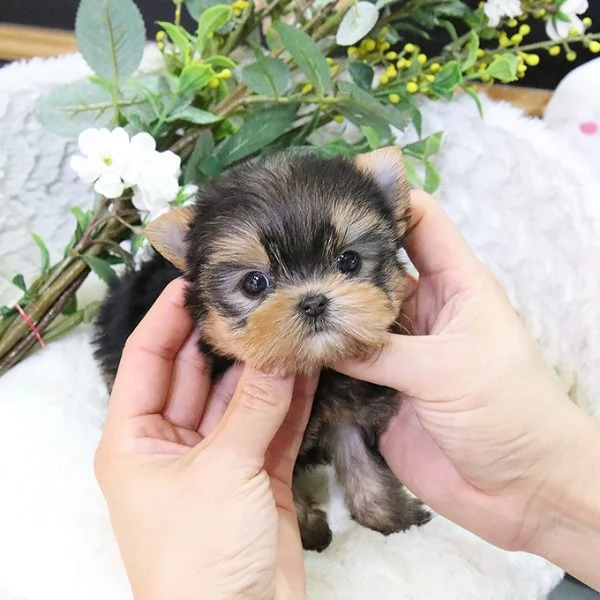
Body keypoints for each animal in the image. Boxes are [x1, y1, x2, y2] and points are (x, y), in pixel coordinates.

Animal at [94, 148, 428, 552]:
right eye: (255, 283)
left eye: (349, 261)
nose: (313, 302)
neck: (317, 368)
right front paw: (307, 531)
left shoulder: (348, 412)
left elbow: (361, 460)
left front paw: (394, 518)